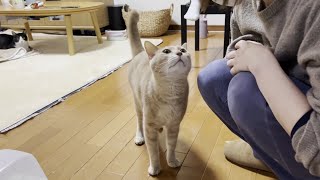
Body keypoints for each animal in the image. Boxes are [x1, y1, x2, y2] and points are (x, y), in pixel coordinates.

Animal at [125, 7, 191, 175]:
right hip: (138, 105)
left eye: (183, 50)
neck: (170, 92)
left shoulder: (174, 125)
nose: (180, 53)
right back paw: (139, 137)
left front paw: (172, 161)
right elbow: (153, 151)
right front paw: (155, 168)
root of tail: (141, 52)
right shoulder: (149, 127)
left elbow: (172, 146)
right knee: (138, 122)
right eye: (166, 51)